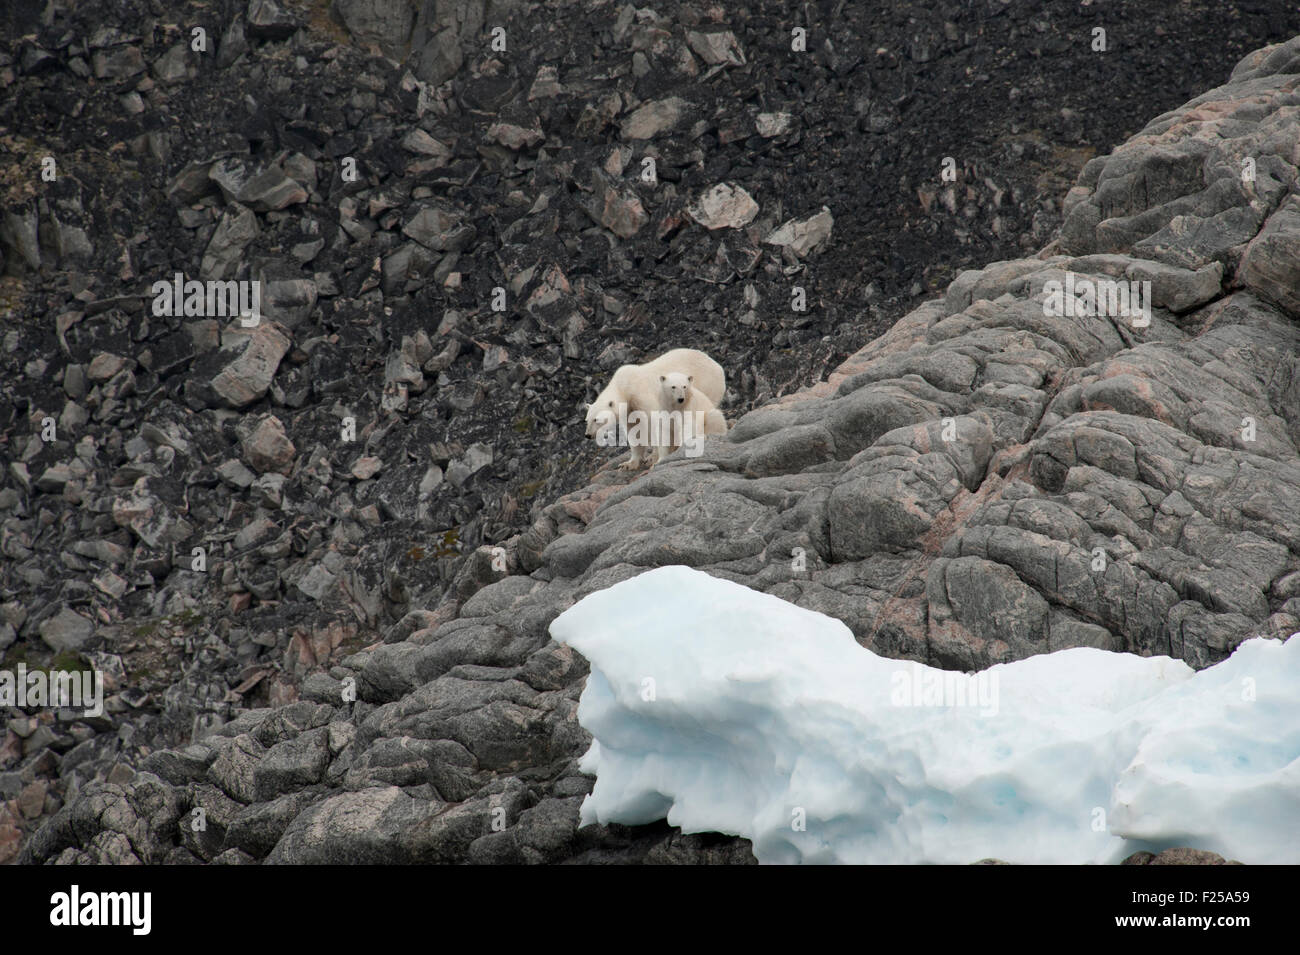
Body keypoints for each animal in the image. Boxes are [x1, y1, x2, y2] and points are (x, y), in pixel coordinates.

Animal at [585, 350, 728, 470]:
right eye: (587, 420)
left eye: (596, 419)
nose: (588, 435)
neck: (624, 387)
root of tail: (717, 364)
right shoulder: (630, 410)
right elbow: (634, 431)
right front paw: (628, 464)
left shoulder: (642, 397)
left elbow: (654, 425)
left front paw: (652, 458)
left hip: (708, 385)